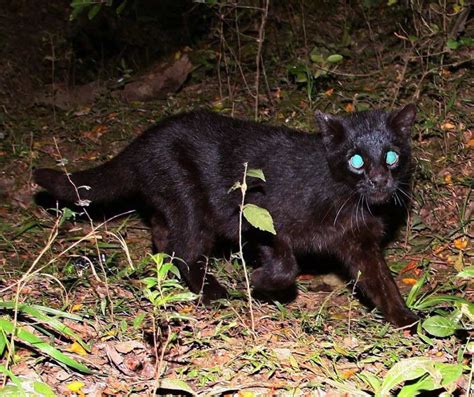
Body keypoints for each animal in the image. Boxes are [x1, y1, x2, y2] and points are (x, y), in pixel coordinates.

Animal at [34, 103, 418, 326]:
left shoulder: (360, 243)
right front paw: (260, 282)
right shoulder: (256, 216)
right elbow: (286, 264)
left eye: (391, 156)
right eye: (356, 160)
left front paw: (405, 318)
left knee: (164, 235)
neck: (348, 198)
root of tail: (140, 142)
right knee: (185, 251)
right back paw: (213, 293)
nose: (379, 180)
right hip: (191, 204)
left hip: (177, 206)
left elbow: (381, 281)